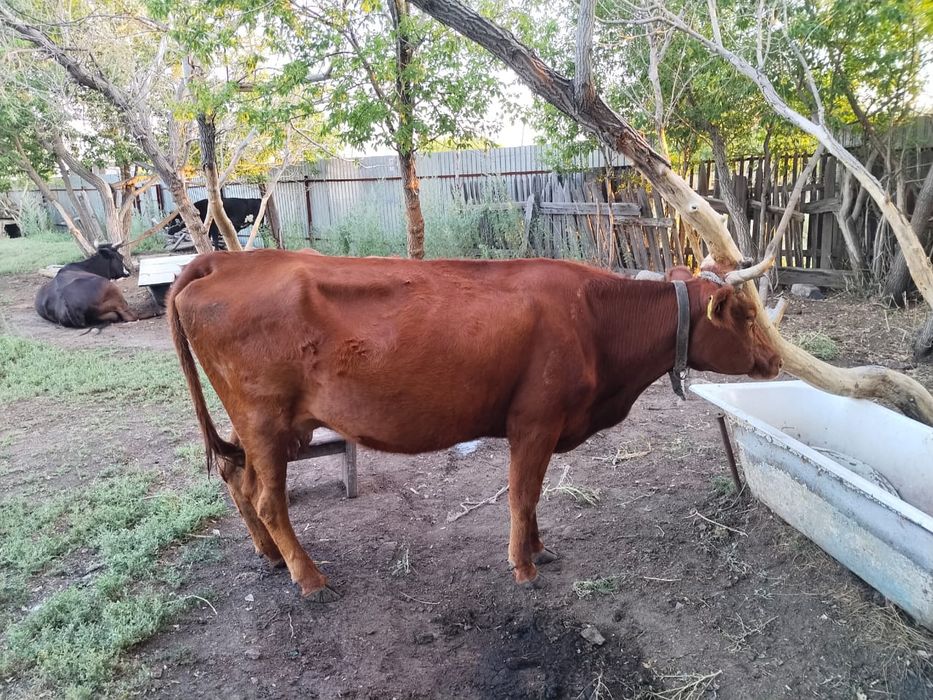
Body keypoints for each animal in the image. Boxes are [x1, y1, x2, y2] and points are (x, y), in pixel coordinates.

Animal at [168, 251, 781, 602]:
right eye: (747, 314)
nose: (776, 361)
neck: (594, 318)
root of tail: (225, 260)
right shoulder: (534, 421)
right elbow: (522, 494)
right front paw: (523, 567)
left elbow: (533, 498)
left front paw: (539, 549)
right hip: (265, 419)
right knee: (268, 499)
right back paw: (309, 578)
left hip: (264, 426)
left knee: (238, 479)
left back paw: (272, 557)